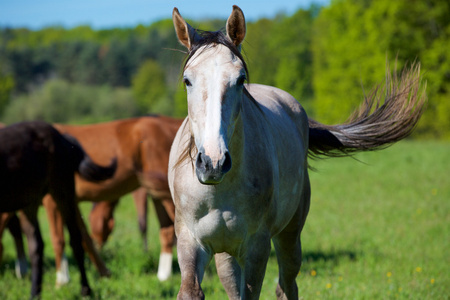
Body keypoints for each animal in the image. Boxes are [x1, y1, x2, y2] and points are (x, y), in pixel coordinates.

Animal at [0, 120, 118, 298]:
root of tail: (63, 138)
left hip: (62, 191)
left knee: (75, 241)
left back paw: (85, 290)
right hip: (30, 202)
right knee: (36, 246)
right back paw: (35, 294)